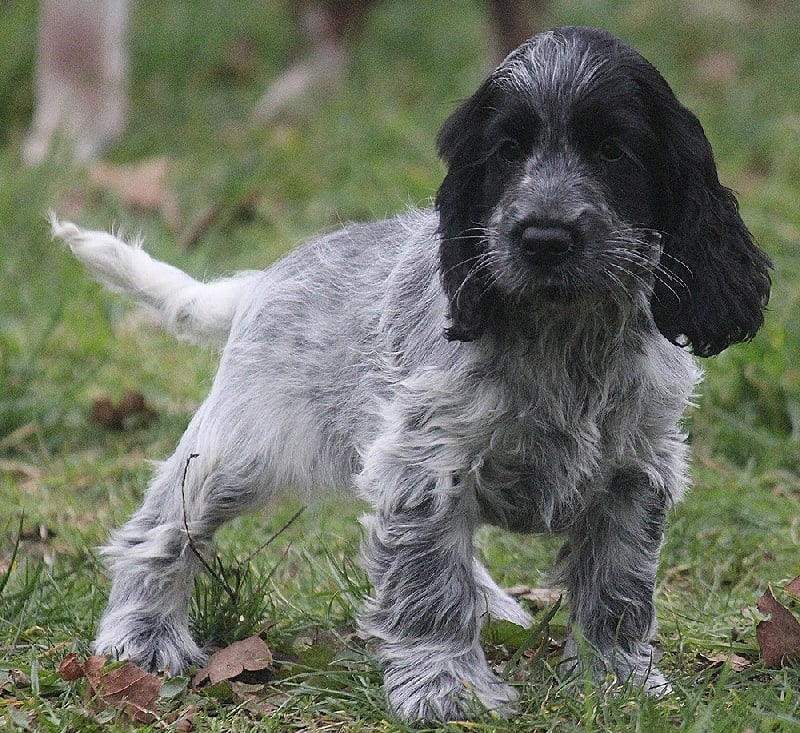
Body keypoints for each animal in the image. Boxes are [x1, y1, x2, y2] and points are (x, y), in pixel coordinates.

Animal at [53, 27, 772, 720]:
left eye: (613, 151)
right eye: (506, 151)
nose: (543, 237)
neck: (561, 334)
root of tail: (264, 279)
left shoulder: (634, 472)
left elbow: (618, 587)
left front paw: (617, 681)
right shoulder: (428, 466)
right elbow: (431, 587)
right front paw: (449, 688)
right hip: (242, 450)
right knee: (160, 530)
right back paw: (141, 638)